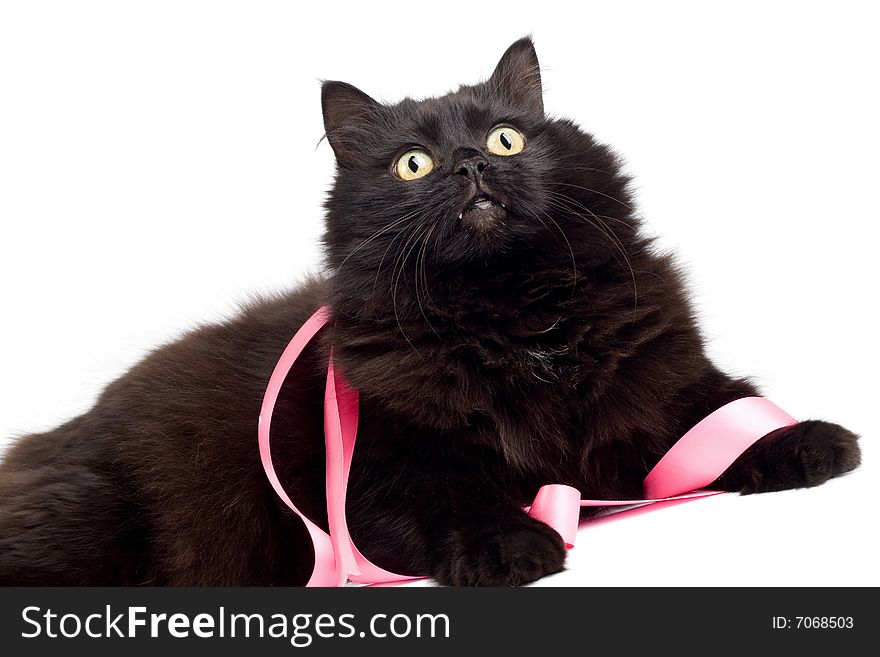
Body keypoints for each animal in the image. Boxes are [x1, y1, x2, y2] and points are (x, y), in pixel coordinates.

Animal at [0, 37, 860, 584]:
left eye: (507, 138)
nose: (471, 164)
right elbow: (451, 494)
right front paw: (511, 544)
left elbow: (724, 410)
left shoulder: (657, 380)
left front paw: (810, 441)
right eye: (413, 164)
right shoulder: (382, 465)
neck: (516, 320)